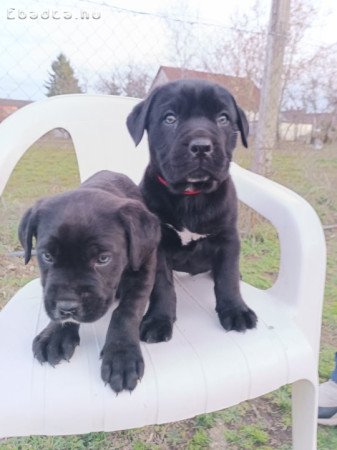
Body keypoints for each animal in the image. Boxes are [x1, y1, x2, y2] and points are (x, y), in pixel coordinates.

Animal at [18, 171, 160, 392]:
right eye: (47, 256)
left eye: (103, 259)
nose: (66, 307)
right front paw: (55, 334)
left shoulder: (144, 266)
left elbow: (127, 311)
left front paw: (121, 355)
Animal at [126, 79, 258, 342]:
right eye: (170, 118)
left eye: (223, 118)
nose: (201, 147)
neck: (192, 196)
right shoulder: (158, 246)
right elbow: (162, 285)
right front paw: (158, 320)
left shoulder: (228, 238)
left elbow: (228, 277)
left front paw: (235, 311)